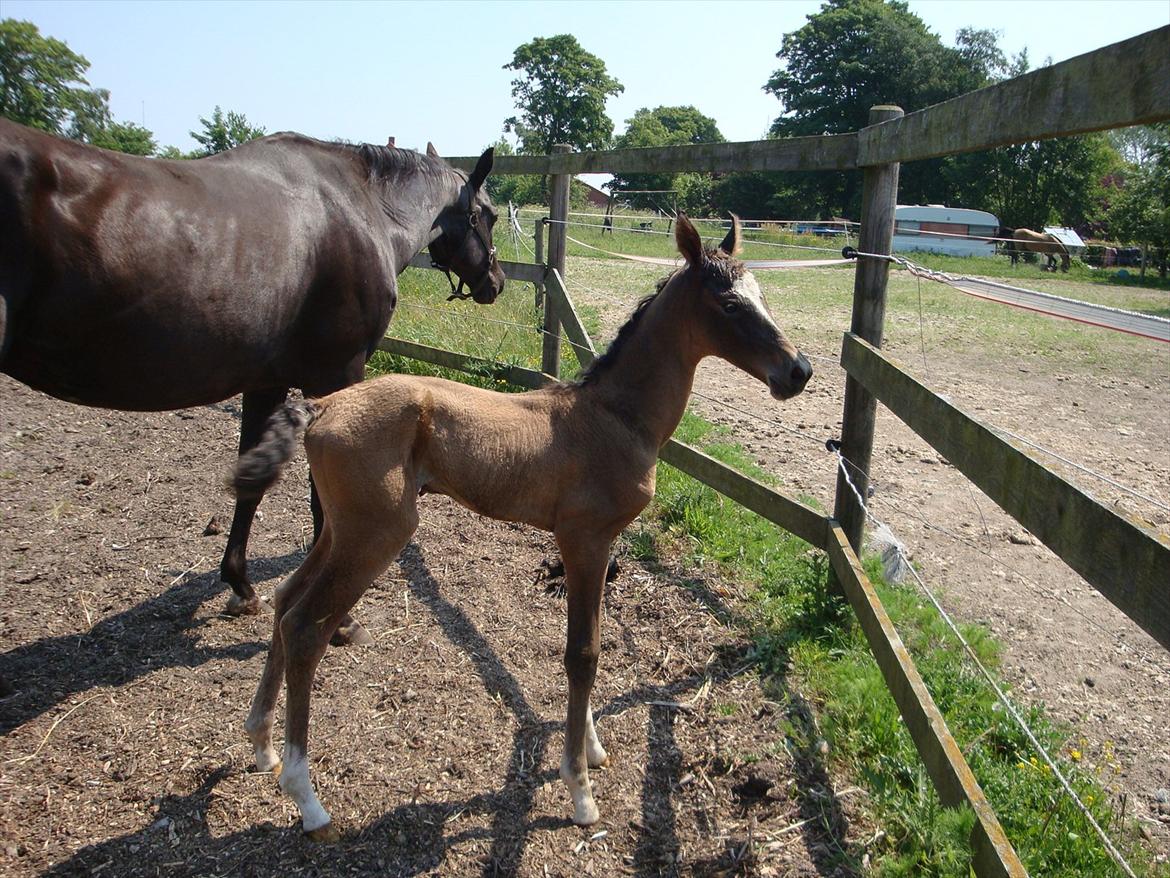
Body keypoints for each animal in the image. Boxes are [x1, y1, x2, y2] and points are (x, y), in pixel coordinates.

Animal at [0, 117, 505, 641]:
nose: (497, 282)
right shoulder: (336, 376)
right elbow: (321, 503)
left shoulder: (266, 382)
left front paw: (240, 585)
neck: (363, 209)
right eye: (487, 215)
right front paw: (339, 619)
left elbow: (251, 486)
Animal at [229, 213, 814, 838]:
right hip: (375, 535)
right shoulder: (583, 539)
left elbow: (591, 641)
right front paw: (580, 791)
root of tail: (320, 407)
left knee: (285, 601)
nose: (798, 371)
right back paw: (308, 799)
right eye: (729, 304)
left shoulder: (600, 546)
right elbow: (583, 654)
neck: (615, 417)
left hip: (339, 530)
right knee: (307, 627)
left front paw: (592, 749)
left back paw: (262, 744)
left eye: (762, 295)